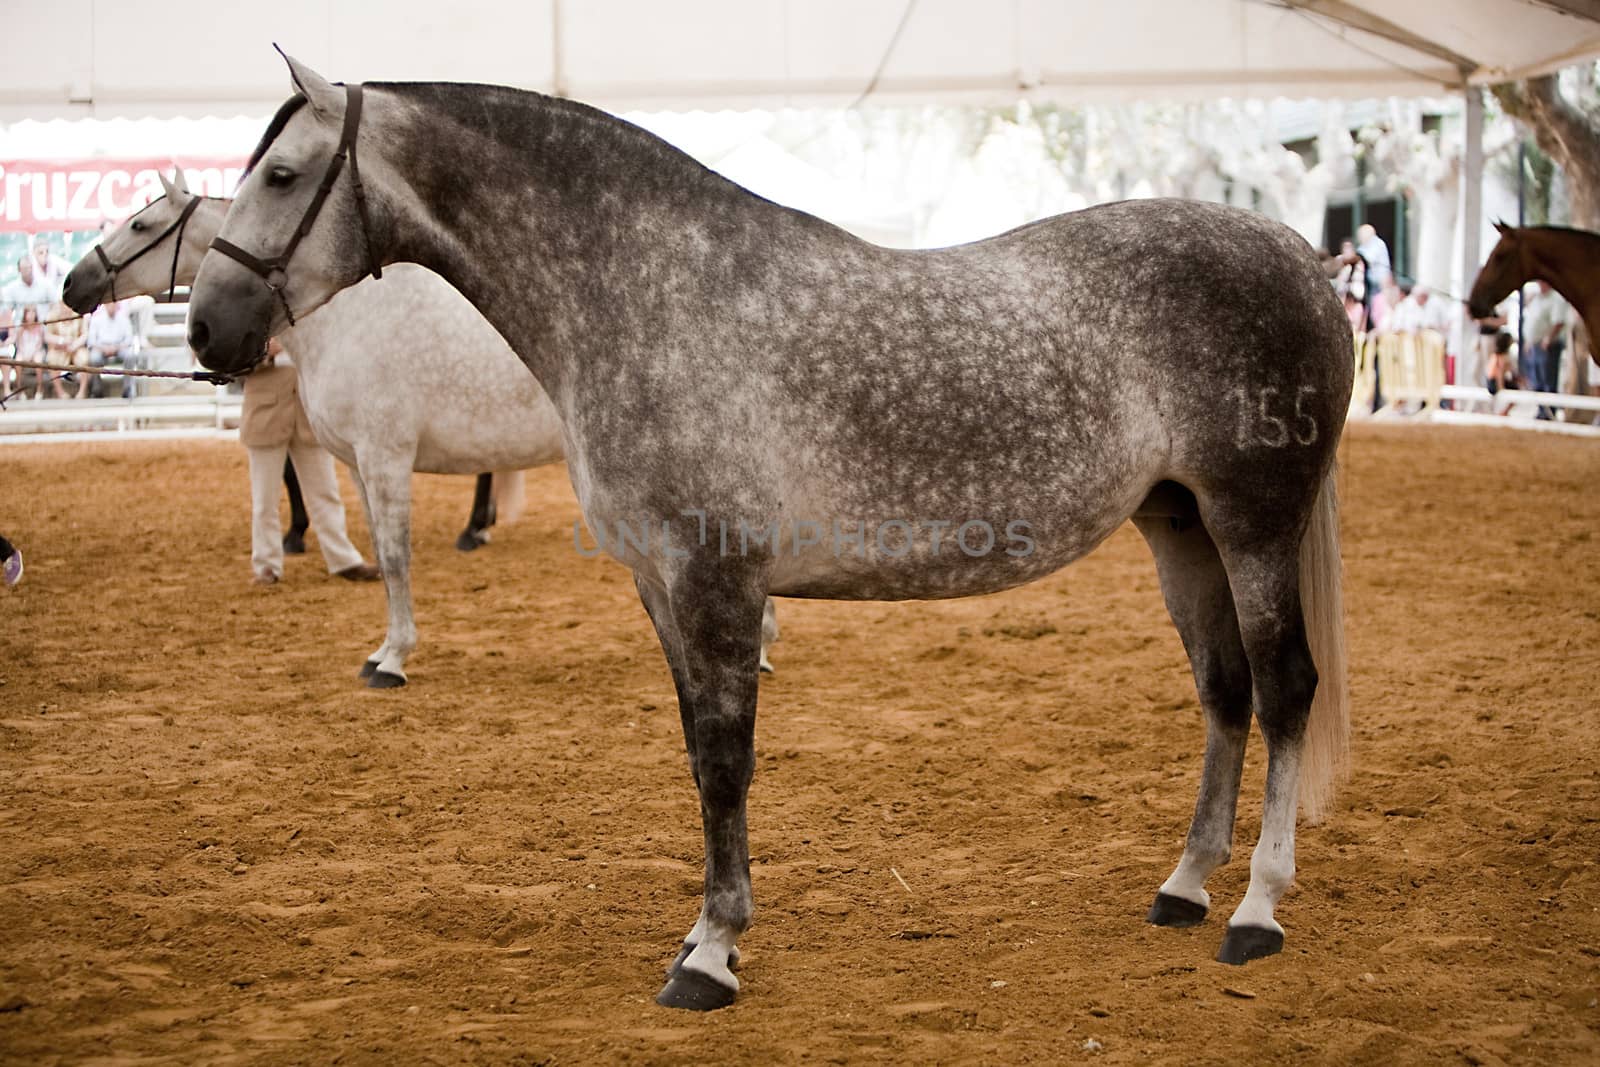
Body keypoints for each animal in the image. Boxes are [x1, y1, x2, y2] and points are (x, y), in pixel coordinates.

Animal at [184, 56, 1350, 1011]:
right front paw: (708, 934)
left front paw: (709, 954)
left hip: (1252, 519)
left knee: (1284, 686)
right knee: (1224, 690)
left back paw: (1255, 908)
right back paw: (1184, 886)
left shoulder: (717, 580)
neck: (650, 297)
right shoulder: (660, 585)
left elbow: (725, 761)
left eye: (282, 174)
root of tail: (1301, 255)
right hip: (1178, 522)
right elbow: (700, 758)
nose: (207, 329)